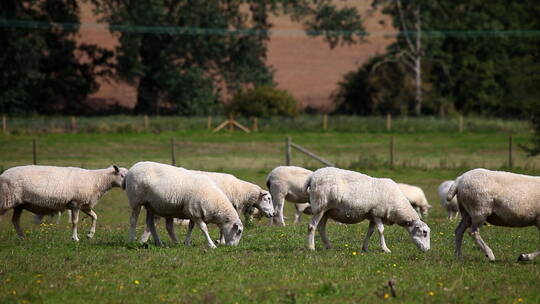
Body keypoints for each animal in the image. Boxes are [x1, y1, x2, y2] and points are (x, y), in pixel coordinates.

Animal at [139, 170, 274, 243]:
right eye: (268, 199)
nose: (273, 214)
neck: (240, 191)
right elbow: (222, 228)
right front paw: (221, 241)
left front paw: (219, 241)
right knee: (152, 223)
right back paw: (143, 240)